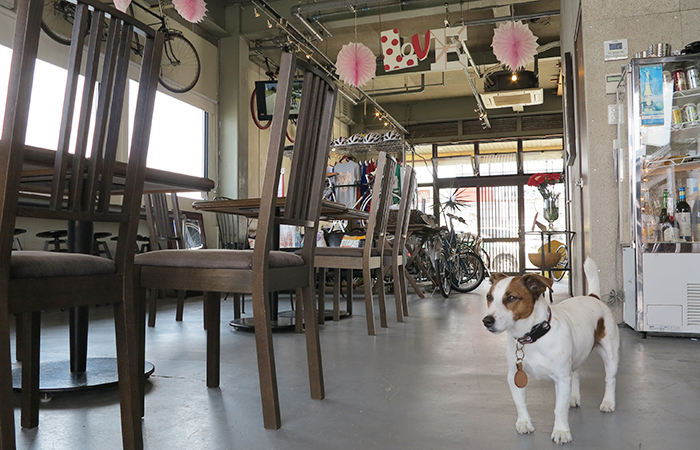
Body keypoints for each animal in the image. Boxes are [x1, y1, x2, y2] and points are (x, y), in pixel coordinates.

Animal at [482, 258, 616, 444]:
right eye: (489, 297)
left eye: (511, 298)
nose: (486, 321)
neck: (533, 337)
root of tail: (592, 297)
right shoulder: (514, 376)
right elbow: (520, 403)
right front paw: (524, 422)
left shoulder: (561, 378)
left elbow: (559, 408)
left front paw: (561, 431)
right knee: (575, 374)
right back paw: (573, 397)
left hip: (610, 355)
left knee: (609, 379)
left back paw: (608, 402)